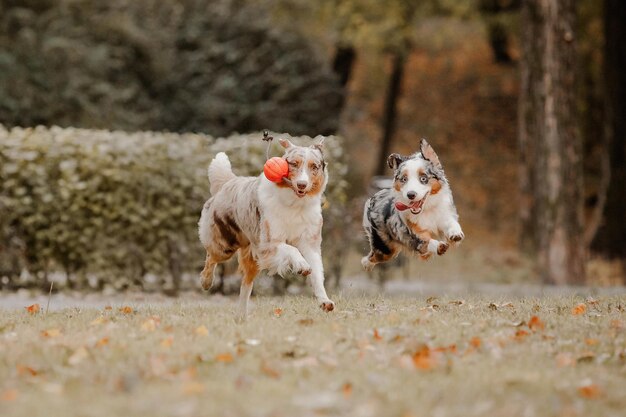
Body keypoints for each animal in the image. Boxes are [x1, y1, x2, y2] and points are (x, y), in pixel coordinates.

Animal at [197, 136, 334, 318]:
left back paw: (241, 317)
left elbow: (317, 274)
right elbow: (292, 250)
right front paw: (301, 265)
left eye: (314, 167)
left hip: (252, 258)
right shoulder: (268, 243)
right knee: (211, 258)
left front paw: (324, 301)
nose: (302, 184)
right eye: (294, 164)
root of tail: (229, 181)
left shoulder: (310, 243)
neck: (294, 205)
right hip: (225, 245)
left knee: (246, 284)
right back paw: (206, 281)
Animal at [360, 139, 464, 270]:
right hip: (386, 248)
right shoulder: (411, 232)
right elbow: (425, 241)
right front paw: (439, 246)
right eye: (404, 179)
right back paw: (366, 264)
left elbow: (451, 223)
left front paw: (455, 234)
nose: (411, 194)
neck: (426, 209)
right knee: (373, 256)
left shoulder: (443, 214)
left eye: (423, 178)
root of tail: (373, 198)